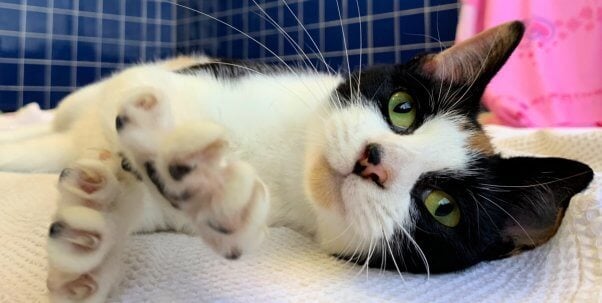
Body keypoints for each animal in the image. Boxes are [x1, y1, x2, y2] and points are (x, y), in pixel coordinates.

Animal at [0, 21, 592, 303]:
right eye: (402, 109)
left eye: (442, 207)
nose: (373, 161)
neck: (288, 162)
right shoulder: (184, 81)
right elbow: (147, 101)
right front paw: (200, 163)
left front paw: (98, 231)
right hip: (89, 98)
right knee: (63, 120)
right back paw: (24, 122)